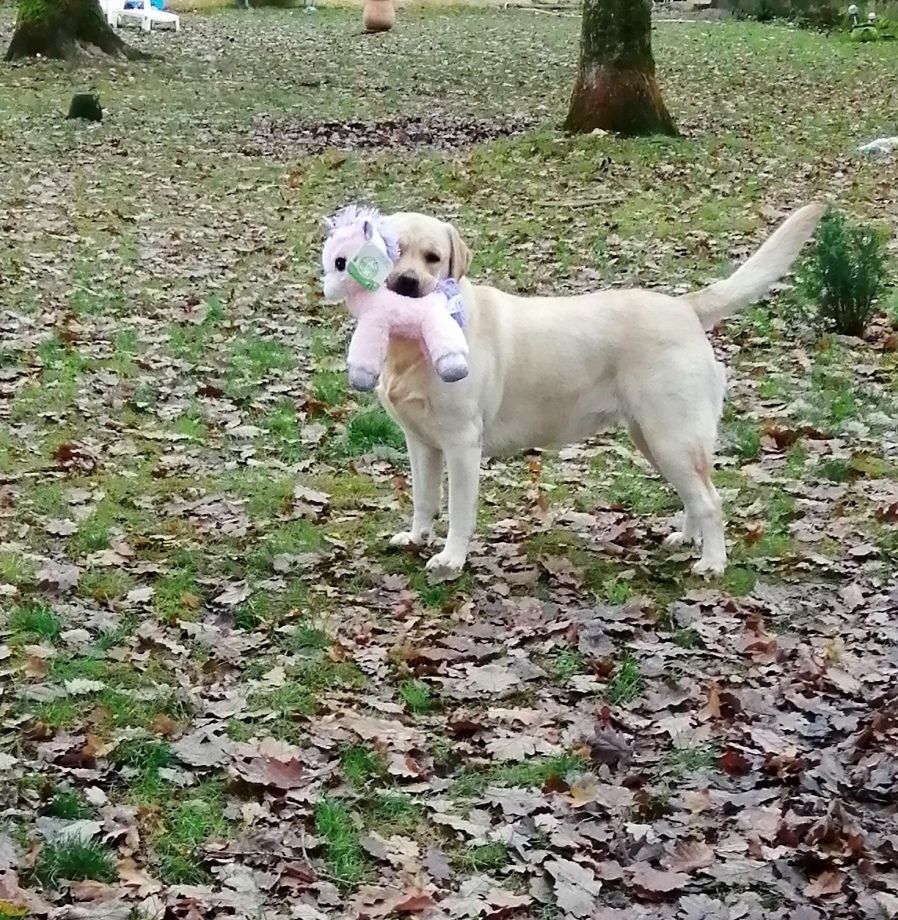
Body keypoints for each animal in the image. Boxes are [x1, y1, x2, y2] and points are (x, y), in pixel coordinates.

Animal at [374, 207, 824, 584]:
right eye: (394, 253)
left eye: (433, 258)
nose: (407, 283)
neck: (412, 345)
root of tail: (683, 307)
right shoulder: (421, 442)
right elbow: (424, 498)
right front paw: (416, 538)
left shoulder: (463, 444)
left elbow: (458, 510)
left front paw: (451, 559)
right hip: (656, 440)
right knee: (696, 494)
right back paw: (686, 540)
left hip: (671, 437)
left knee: (710, 500)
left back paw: (712, 563)